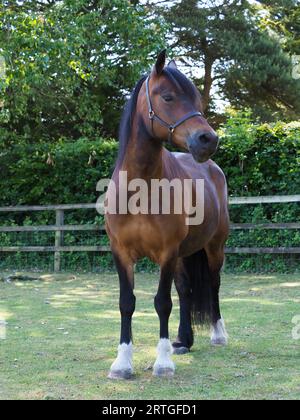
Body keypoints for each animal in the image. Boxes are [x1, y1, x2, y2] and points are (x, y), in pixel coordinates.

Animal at [105, 50, 230, 378]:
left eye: (196, 99)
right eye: (168, 97)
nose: (208, 139)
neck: (139, 191)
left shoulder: (166, 252)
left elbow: (162, 303)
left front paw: (162, 363)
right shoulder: (121, 253)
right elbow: (126, 302)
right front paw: (122, 363)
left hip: (213, 248)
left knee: (213, 285)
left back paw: (218, 334)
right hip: (184, 254)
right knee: (186, 291)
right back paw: (184, 341)